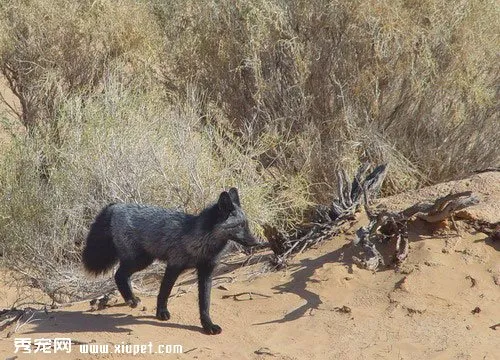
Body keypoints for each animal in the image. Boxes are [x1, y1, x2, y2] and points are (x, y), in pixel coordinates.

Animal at [81, 188, 258, 334]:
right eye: (239, 226)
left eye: (246, 225)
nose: (256, 242)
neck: (201, 239)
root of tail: (117, 206)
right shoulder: (174, 265)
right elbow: (164, 292)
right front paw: (161, 313)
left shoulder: (206, 272)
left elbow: (205, 303)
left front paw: (207, 325)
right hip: (141, 260)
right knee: (118, 275)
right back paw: (131, 300)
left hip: (142, 260)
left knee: (123, 275)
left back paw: (131, 298)